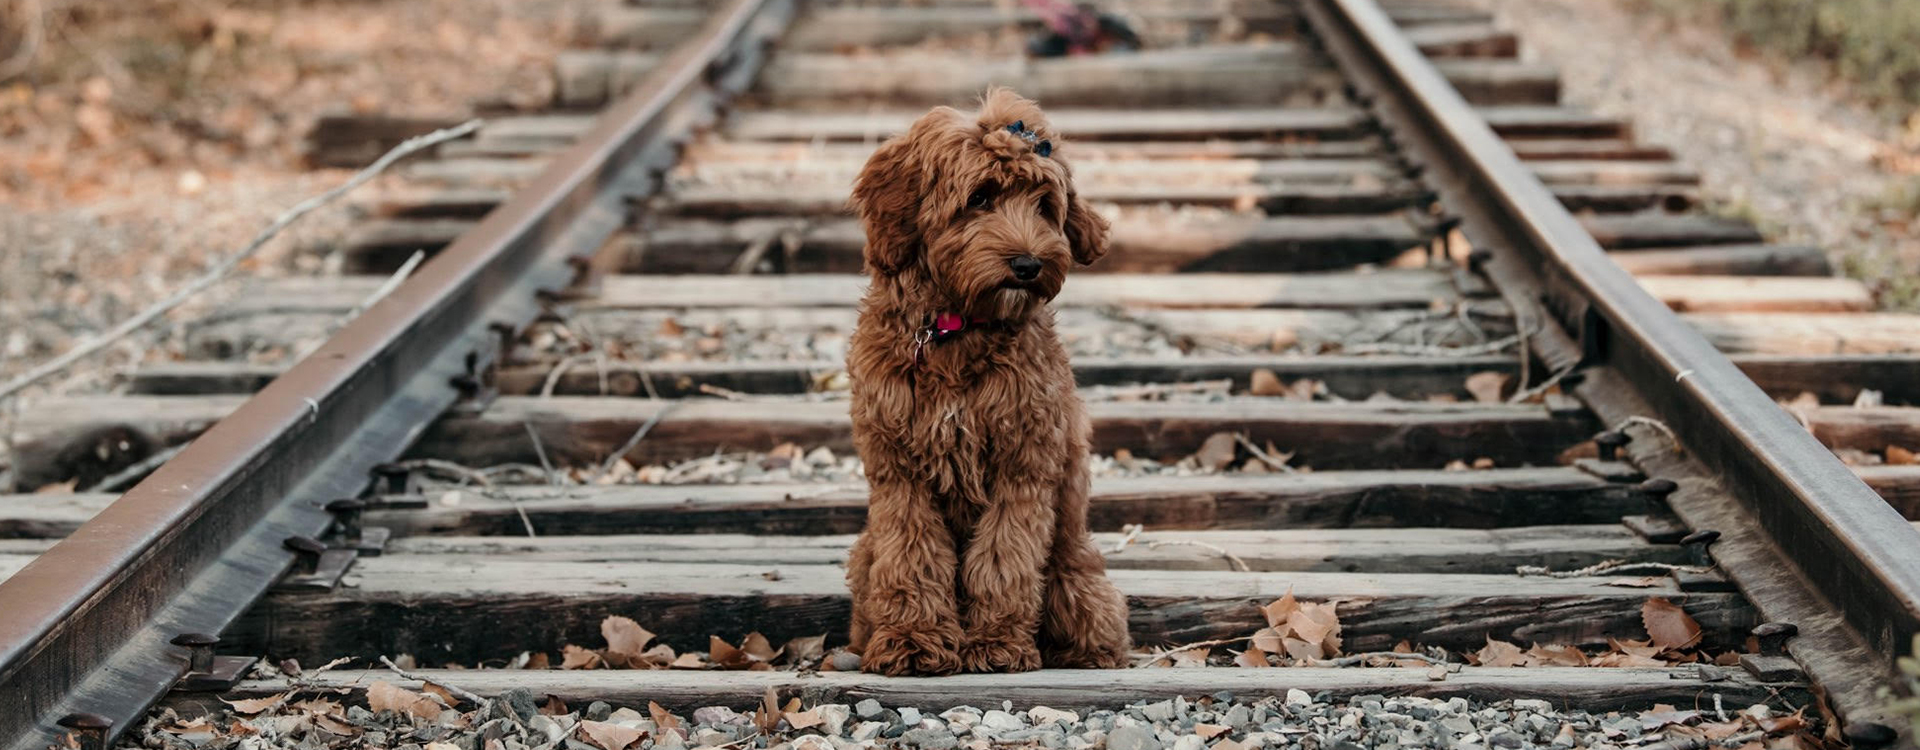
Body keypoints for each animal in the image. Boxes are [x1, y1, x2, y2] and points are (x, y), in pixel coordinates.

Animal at [844, 89, 1136, 675]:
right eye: (979, 197)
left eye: (1044, 205)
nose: (1028, 264)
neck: (954, 330)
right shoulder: (898, 469)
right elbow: (911, 554)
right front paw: (913, 639)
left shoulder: (1023, 463)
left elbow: (1005, 557)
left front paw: (997, 644)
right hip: (863, 556)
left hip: (1077, 575)